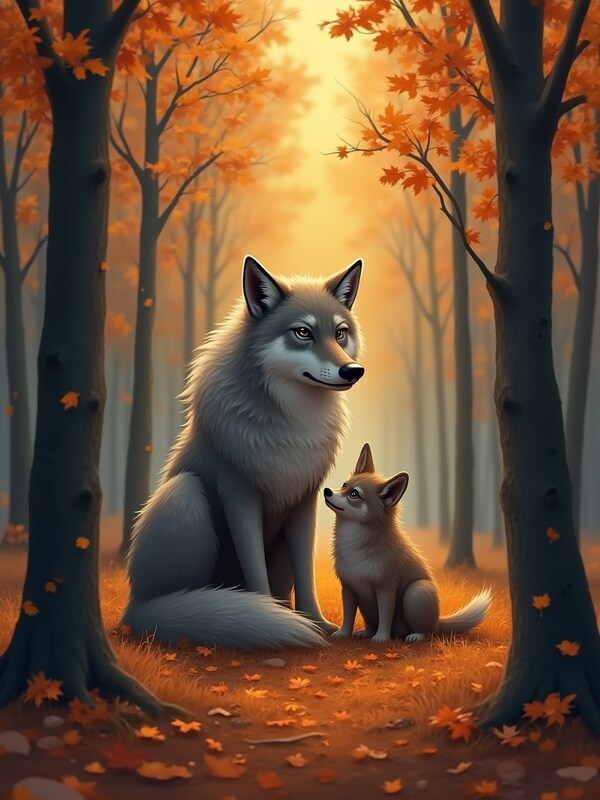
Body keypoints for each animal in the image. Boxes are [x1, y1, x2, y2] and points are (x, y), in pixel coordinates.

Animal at [121, 254, 365, 649]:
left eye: (340, 333)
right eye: (303, 333)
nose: (353, 370)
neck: (292, 425)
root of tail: (134, 607)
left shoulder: (305, 499)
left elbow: (307, 573)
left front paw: (316, 623)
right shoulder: (240, 494)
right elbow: (255, 569)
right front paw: (274, 617)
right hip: (185, 492)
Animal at [324, 444, 491, 643]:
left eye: (354, 494)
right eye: (344, 485)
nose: (326, 491)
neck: (356, 545)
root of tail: (438, 620)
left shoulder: (386, 587)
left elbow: (385, 615)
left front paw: (381, 638)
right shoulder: (348, 587)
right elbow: (348, 615)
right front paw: (343, 634)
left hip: (416, 592)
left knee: (427, 630)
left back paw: (415, 635)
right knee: (372, 623)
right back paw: (367, 632)